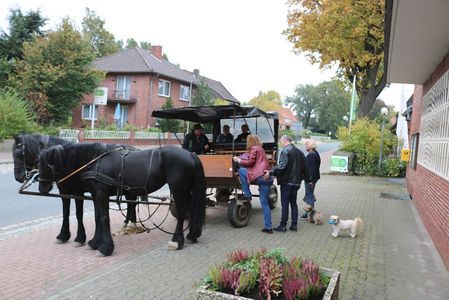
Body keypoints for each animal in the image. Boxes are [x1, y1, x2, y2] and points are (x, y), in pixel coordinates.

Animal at [37, 143, 206, 255]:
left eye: (47, 164)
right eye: (37, 162)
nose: (42, 189)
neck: (94, 161)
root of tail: (190, 154)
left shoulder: (101, 193)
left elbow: (104, 218)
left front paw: (105, 247)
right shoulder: (95, 194)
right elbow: (98, 217)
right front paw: (95, 242)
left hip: (178, 189)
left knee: (182, 212)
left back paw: (177, 241)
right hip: (186, 190)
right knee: (192, 208)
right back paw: (192, 235)